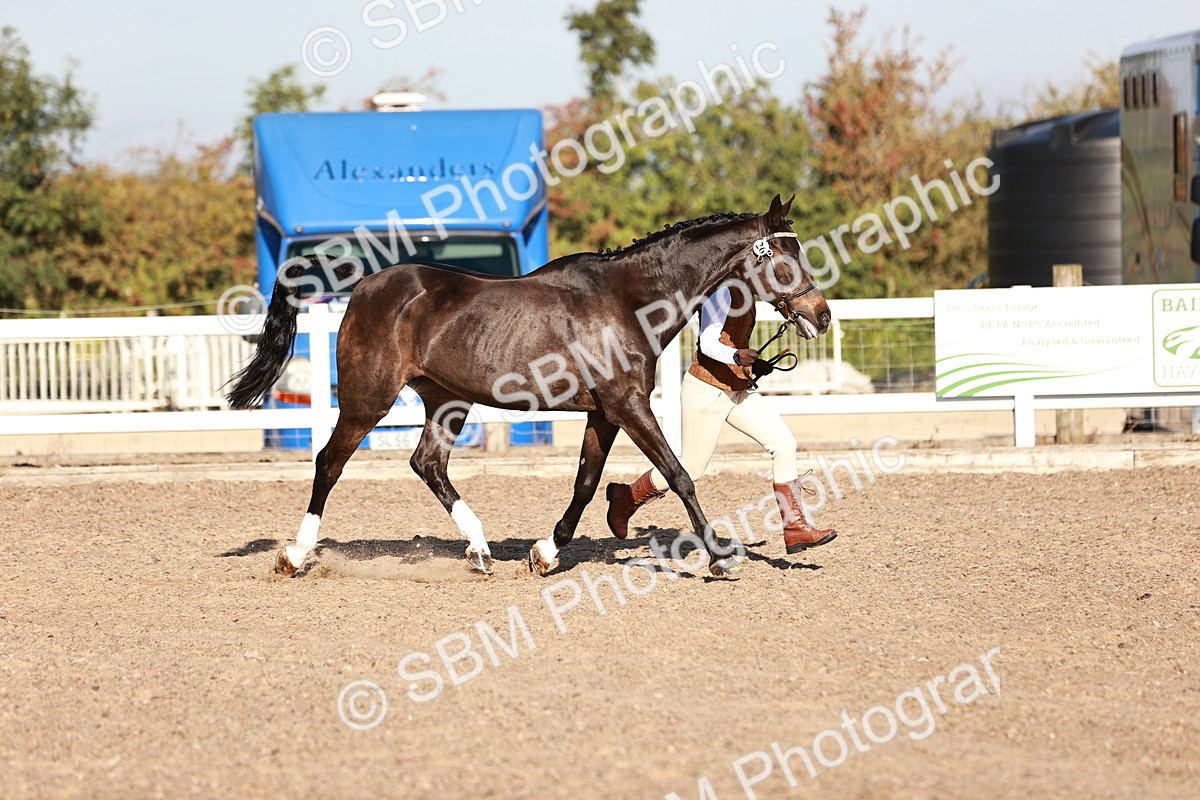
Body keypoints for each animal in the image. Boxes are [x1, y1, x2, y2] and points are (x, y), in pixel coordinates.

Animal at [226, 194, 832, 579]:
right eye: (786, 258)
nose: (821, 316)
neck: (630, 299)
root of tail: (365, 283)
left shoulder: (603, 413)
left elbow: (586, 484)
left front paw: (546, 552)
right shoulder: (628, 406)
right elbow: (680, 474)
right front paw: (719, 557)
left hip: (446, 399)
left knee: (428, 464)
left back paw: (481, 551)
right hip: (366, 400)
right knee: (329, 462)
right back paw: (295, 557)